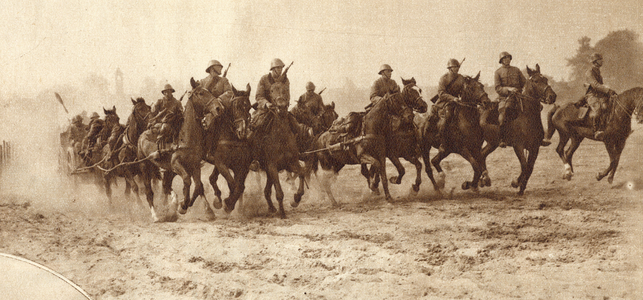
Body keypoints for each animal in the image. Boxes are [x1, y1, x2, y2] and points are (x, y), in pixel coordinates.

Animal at [137, 78, 225, 221]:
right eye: (201, 93)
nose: (219, 108)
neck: (186, 138)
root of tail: (141, 135)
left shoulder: (195, 165)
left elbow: (198, 186)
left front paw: (208, 211)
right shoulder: (176, 165)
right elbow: (187, 180)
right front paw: (183, 205)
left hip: (164, 169)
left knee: (166, 186)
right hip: (144, 166)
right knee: (149, 191)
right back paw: (156, 215)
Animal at [203, 84, 253, 213]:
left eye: (249, 107)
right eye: (236, 106)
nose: (242, 131)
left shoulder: (242, 167)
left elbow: (239, 186)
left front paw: (229, 203)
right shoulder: (221, 164)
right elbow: (233, 184)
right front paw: (228, 203)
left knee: (212, 178)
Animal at [478, 64, 560, 193]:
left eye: (546, 79)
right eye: (535, 81)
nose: (552, 96)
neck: (527, 117)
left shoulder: (534, 147)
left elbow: (530, 168)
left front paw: (522, 187)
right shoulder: (518, 146)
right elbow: (524, 166)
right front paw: (516, 183)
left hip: (492, 143)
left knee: (482, 155)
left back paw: (484, 180)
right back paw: (483, 179)